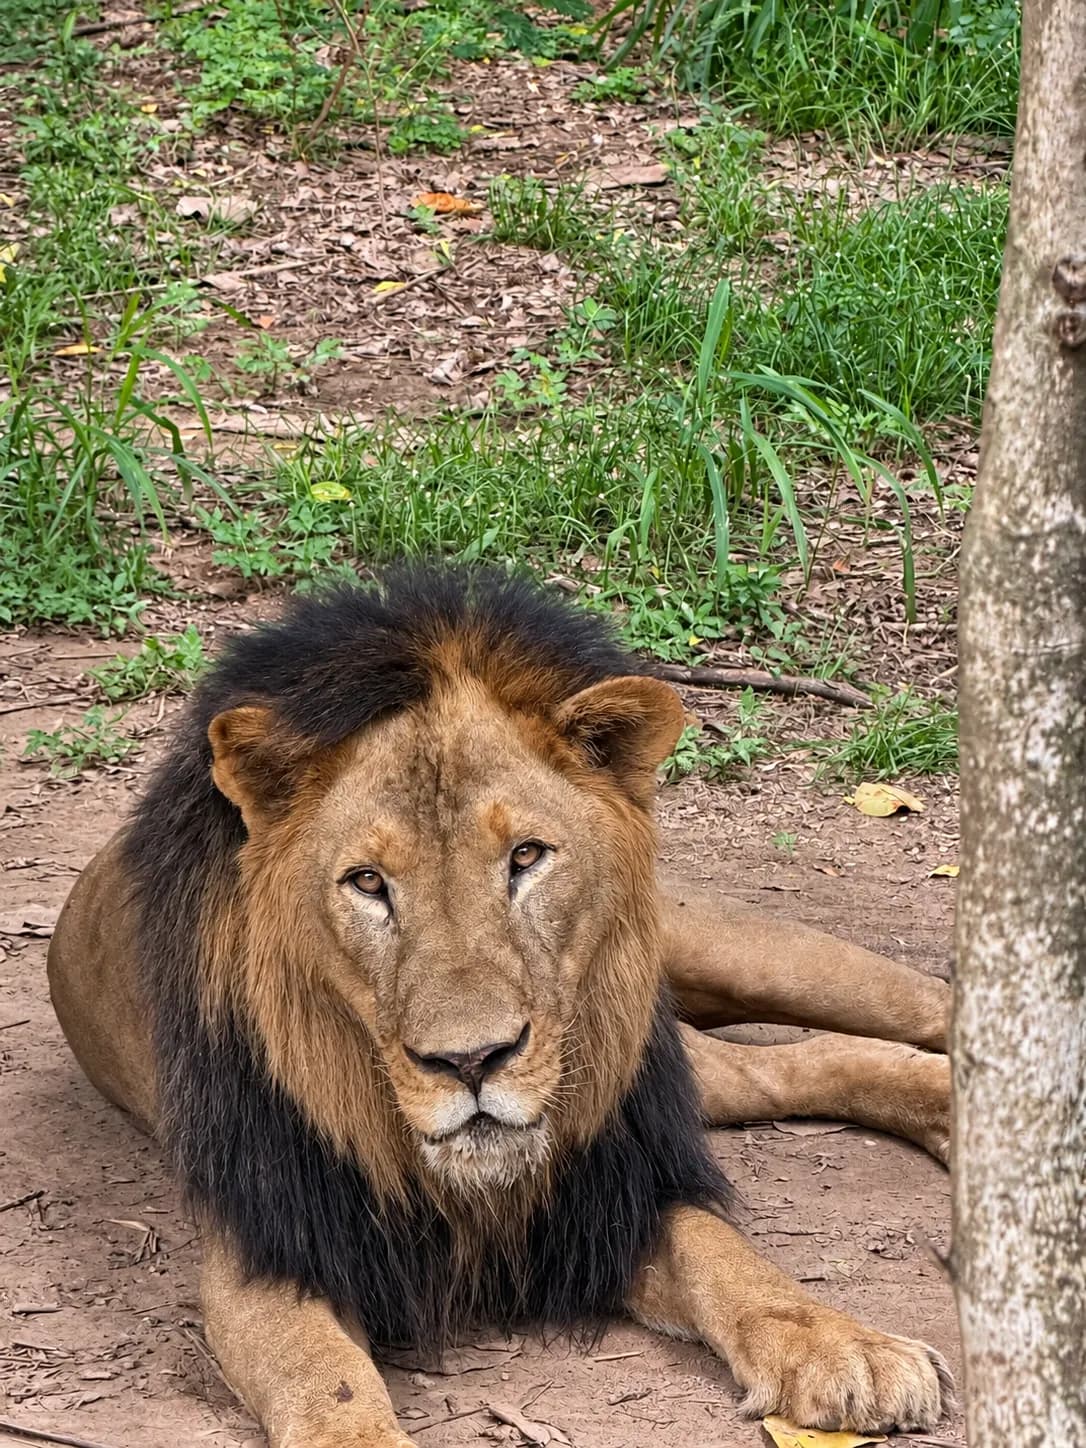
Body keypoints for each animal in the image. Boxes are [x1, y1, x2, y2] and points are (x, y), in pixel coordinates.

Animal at [47, 566, 953, 1448]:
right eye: (368, 882)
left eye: (526, 856)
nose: (471, 1061)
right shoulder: (274, 1243)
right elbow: (323, 1376)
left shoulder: (613, 1182)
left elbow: (728, 1258)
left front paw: (845, 1346)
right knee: (793, 1065)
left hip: (730, 957)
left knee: (903, 1013)